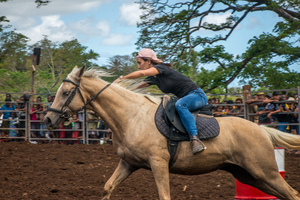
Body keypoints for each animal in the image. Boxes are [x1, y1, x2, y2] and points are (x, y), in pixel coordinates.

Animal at [44, 66, 300, 200]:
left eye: (65, 92)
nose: (47, 119)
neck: (132, 116)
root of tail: (261, 129)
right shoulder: (128, 163)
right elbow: (108, 187)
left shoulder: (158, 163)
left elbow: (164, 195)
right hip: (248, 175)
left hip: (266, 172)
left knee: (292, 193)